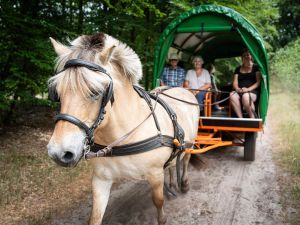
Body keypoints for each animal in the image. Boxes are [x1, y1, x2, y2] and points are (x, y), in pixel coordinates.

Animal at [47, 32, 200, 225]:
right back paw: (172, 185)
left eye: (95, 92)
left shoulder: (155, 174)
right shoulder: (101, 179)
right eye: (56, 92)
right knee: (174, 162)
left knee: (185, 160)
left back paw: (184, 184)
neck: (120, 137)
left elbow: (158, 203)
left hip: (190, 143)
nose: (58, 153)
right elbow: (95, 217)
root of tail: (184, 90)